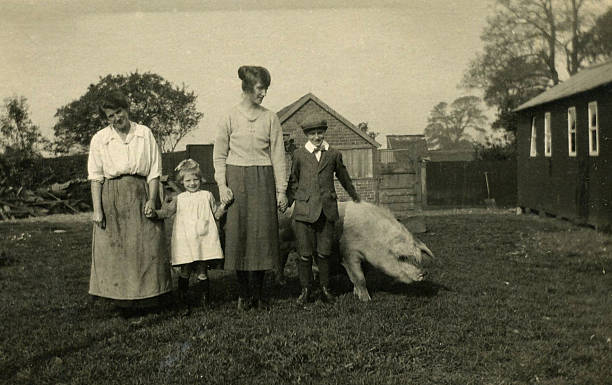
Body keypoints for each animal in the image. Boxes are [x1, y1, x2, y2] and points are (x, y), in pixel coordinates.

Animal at [278, 200, 436, 302]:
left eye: (417, 258)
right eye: (402, 257)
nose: (424, 272)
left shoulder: (366, 261)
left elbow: (361, 276)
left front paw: (356, 293)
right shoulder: (348, 253)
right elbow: (359, 278)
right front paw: (366, 300)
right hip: (284, 244)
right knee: (282, 261)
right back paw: (283, 283)